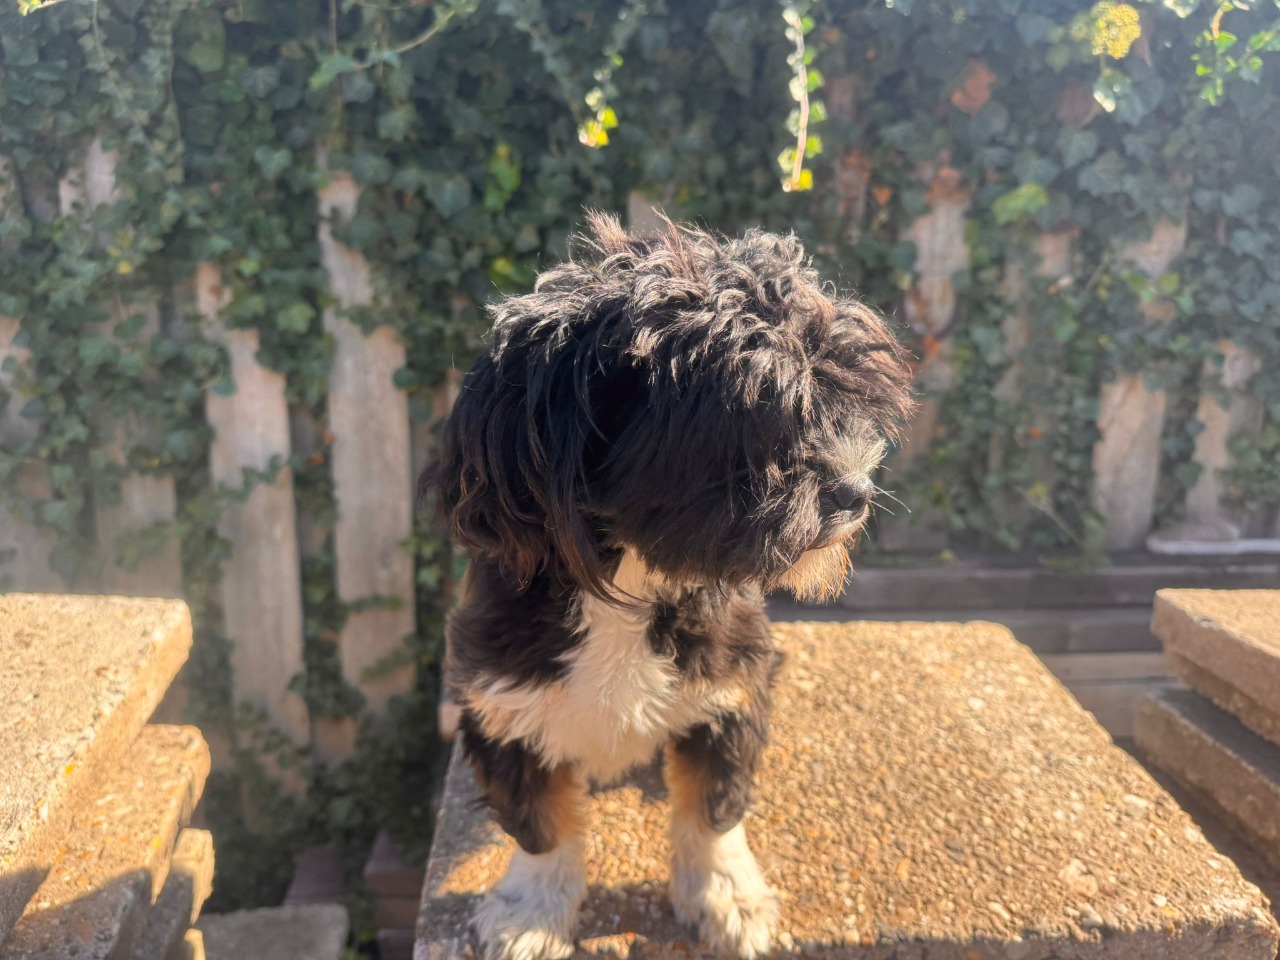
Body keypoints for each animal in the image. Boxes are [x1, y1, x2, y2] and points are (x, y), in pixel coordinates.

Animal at [424, 212, 913, 960]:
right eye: (758, 412)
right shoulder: (502, 699)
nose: (857, 489)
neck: (634, 577)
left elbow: (714, 805)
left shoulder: (733, 682)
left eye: (834, 398)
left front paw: (725, 894)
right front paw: (532, 911)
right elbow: (539, 823)